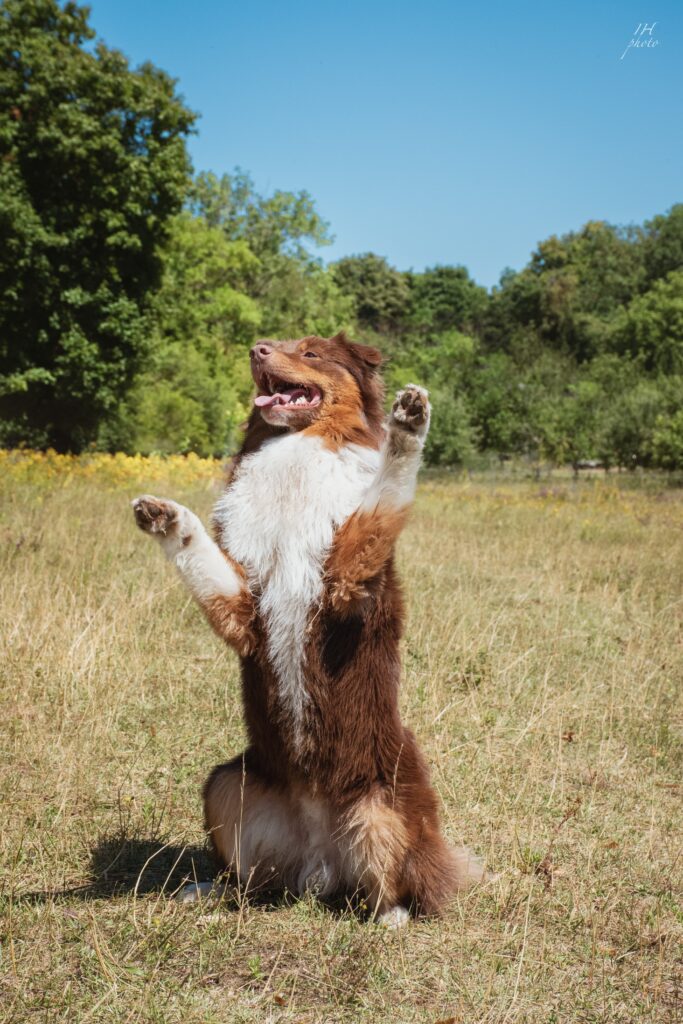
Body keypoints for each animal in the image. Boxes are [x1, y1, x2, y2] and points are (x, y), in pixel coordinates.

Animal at [133, 331, 483, 925]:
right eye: (275, 343)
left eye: (312, 353)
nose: (257, 348)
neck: (295, 451)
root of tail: (318, 865)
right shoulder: (244, 610)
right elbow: (199, 552)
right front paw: (166, 517)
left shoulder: (346, 586)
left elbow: (382, 496)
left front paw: (409, 423)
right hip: (228, 784)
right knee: (253, 880)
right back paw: (209, 891)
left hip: (381, 802)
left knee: (393, 886)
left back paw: (390, 917)